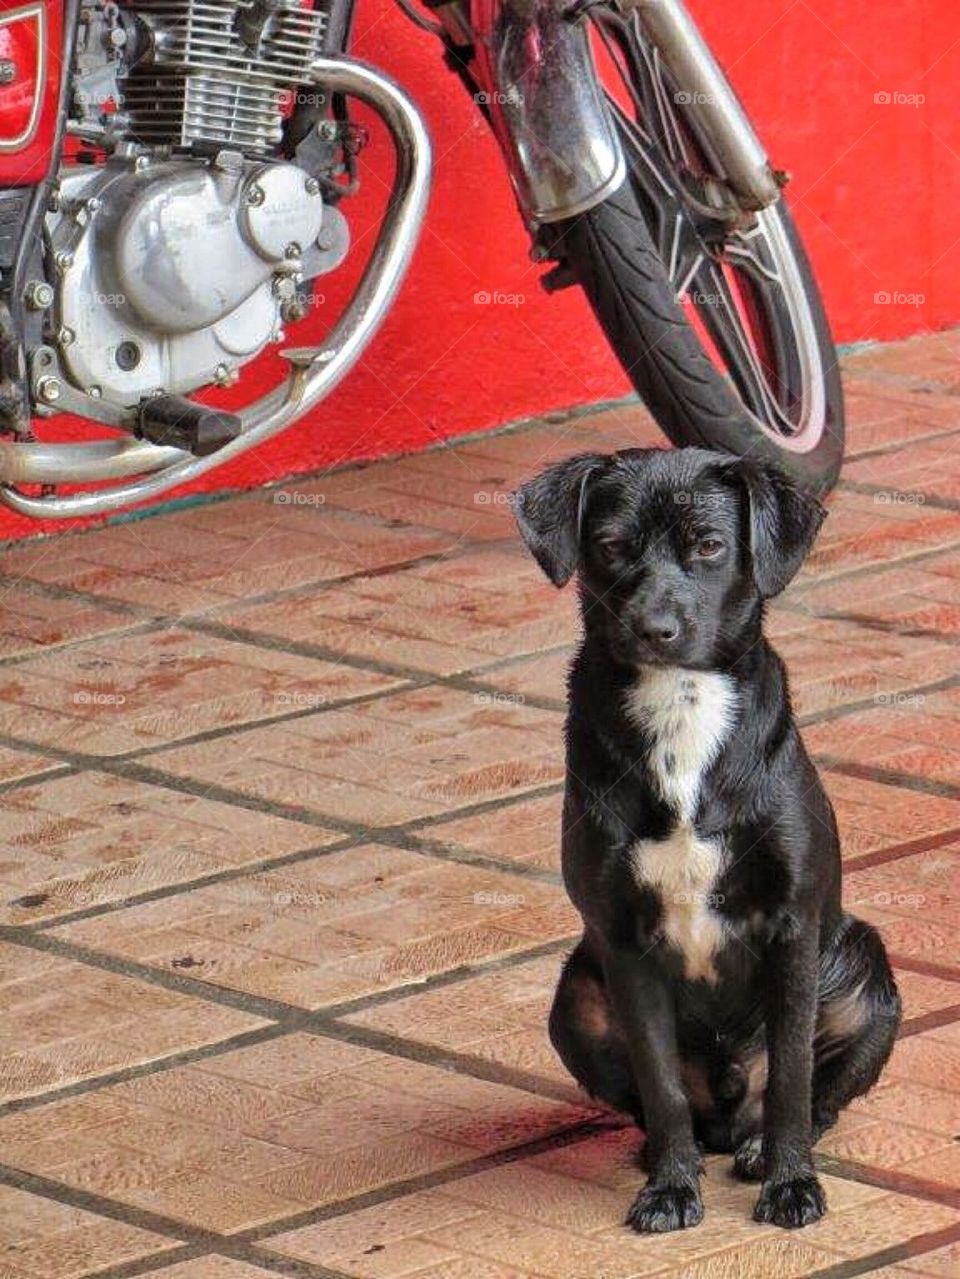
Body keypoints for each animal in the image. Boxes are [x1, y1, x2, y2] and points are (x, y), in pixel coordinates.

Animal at [518, 455, 899, 1232]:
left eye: (710, 547)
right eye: (610, 545)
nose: (654, 628)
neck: (681, 706)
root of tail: (726, 1112)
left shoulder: (792, 926)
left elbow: (791, 1078)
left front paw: (791, 1184)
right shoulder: (623, 939)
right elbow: (660, 1086)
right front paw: (669, 1189)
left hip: (865, 972)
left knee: (812, 1096)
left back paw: (757, 1150)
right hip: (575, 995)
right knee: (665, 1107)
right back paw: (677, 1155)